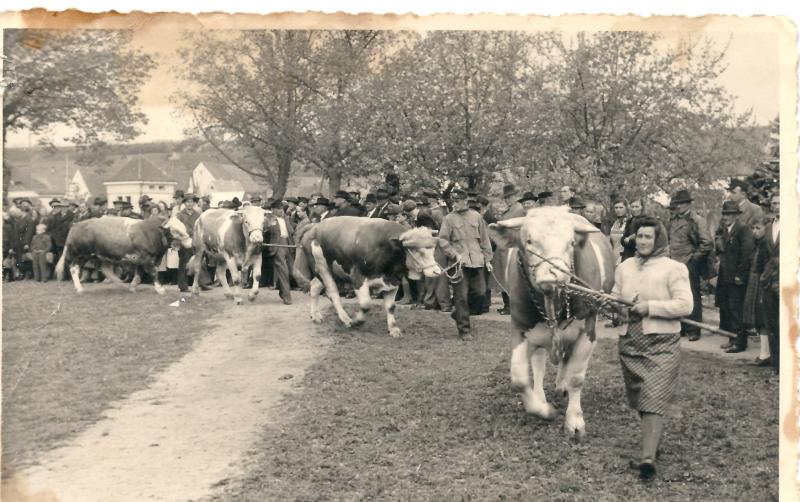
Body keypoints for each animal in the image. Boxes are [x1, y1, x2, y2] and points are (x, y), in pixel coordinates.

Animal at [55, 215, 193, 295]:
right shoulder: (146, 258)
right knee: (74, 269)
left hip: (100, 256)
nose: (190, 242)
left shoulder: (141, 259)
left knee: (106, 271)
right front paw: (160, 289)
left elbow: (138, 275)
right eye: (175, 231)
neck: (151, 232)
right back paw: (79, 288)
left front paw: (132, 287)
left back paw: (120, 284)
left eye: (183, 227)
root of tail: (76, 225)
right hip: (80, 255)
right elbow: (153, 273)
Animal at [292, 217, 441, 337]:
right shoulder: (358, 278)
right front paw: (357, 321)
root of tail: (314, 226)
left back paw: (315, 315)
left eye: (433, 249)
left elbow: (390, 307)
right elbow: (365, 305)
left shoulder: (393, 281)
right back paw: (345, 319)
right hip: (321, 267)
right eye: (415, 250)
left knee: (314, 287)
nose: (437, 272)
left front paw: (393, 329)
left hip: (329, 270)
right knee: (332, 293)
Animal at [489, 206, 615, 438]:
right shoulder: (520, 327)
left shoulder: (588, 331)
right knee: (539, 364)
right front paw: (543, 410)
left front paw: (575, 421)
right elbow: (519, 379)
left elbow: (576, 377)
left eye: (571, 242)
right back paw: (541, 395)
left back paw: (561, 386)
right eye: (529, 241)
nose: (554, 277)